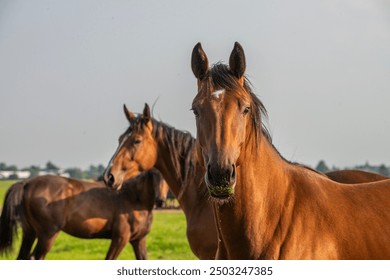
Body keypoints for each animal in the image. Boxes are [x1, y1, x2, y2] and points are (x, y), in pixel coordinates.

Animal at [0, 168, 168, 260]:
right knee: (35, 257)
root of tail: (27, 183)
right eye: (153, 175)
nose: (161, 201)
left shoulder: (138, 240)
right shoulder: (120, 238)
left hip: (30, 233)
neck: (133, 198)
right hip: (48, 234)